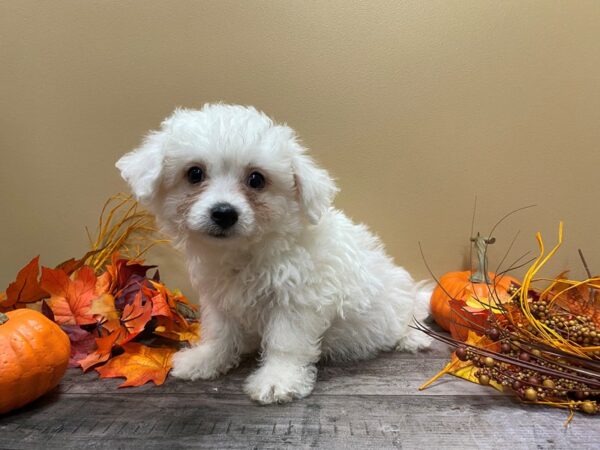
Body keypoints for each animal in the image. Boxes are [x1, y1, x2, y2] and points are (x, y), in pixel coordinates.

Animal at [115, 103, 432, 404]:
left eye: (256, 179)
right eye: (194, 173)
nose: (224, 212)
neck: (246, 252)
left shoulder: (297, 301)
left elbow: (286, 344)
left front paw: (278, 380)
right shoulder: (219, 300)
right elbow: (219, 334)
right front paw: (205, 359)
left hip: (395, 301)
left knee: (409, 313)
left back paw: (411, 336)